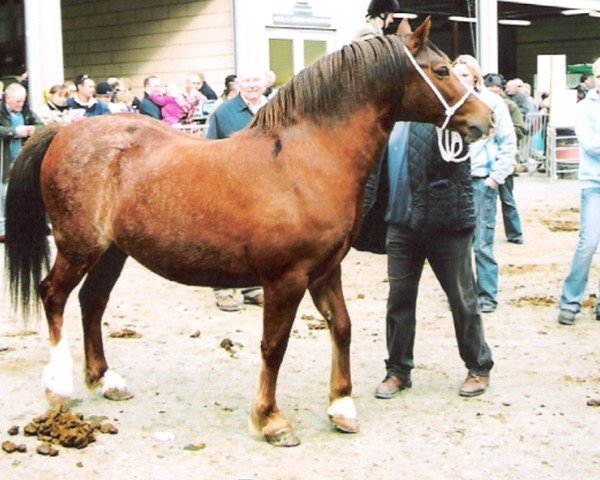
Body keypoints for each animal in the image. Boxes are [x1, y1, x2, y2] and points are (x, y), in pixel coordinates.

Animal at [5, 18, 492, 446]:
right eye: (442, 70)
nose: (485, 119)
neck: (306, 157)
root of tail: (62, 132)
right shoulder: (285, 278)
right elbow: (274, 345)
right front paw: (271, 420)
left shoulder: (326, 271)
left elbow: (343, 328)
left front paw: (341, 407)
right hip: (78, 248)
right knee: (54, 296)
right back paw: (59, 387)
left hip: (112, 252)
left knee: (92, 302)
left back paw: (106, 380)